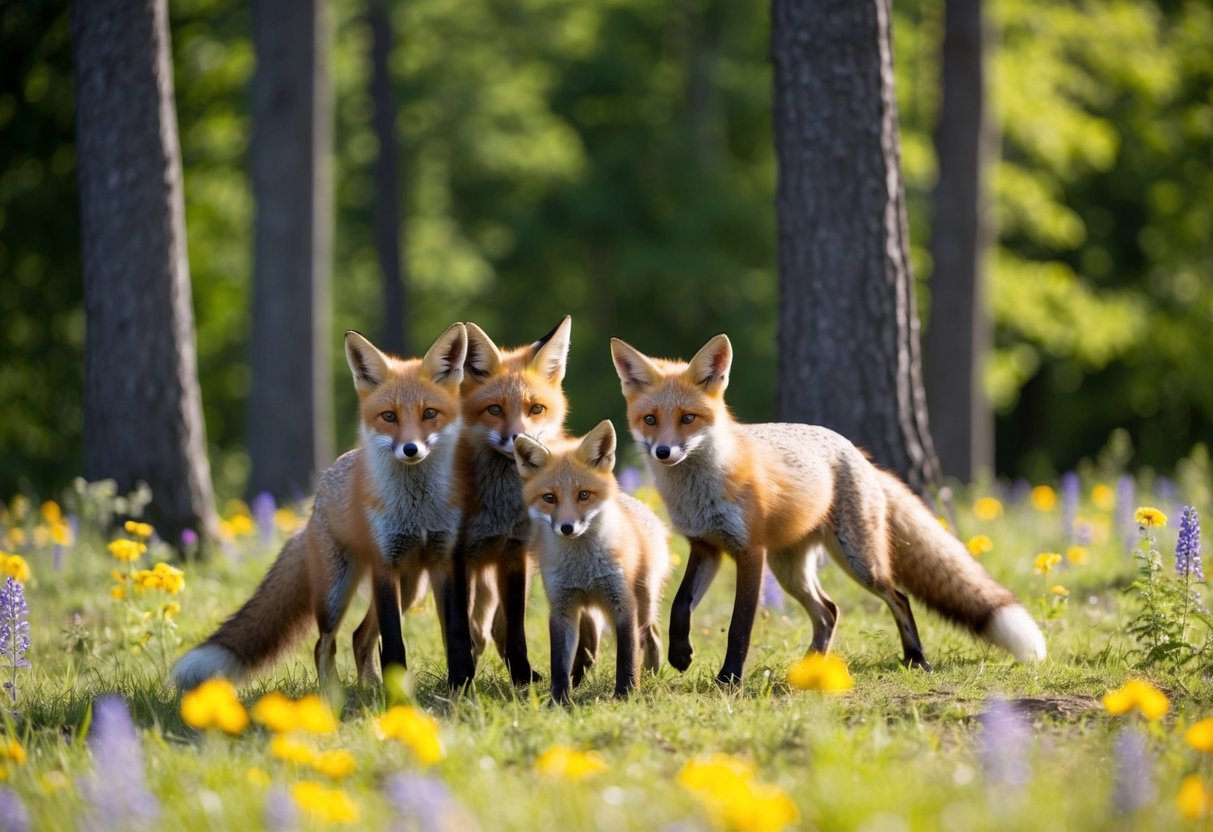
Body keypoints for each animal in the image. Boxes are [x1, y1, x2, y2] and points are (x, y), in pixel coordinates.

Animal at [172, 324, 468, 690]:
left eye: (429, 414)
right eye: (389, 416)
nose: (410, 449)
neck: (418, 509)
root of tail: (314, 506)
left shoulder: (443, 563)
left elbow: (454, 637)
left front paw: (459, 687)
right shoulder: (385, 567)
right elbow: (394, 646)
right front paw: (400, 699)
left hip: (411, 589)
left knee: (359, 637)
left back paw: (370, 686)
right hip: (336, 595)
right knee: (324, 644)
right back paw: (333, 694)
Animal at [513, 420, 671, 702]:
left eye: (584, 495)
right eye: (549, 498)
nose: (567, 528)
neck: (583, 569)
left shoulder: (623, 603)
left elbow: (627, 655)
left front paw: (626, 694)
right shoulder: (562, 608)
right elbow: (559, 662)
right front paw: (559, 699)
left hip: (642, 604)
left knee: (649, 635)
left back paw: (652, 672)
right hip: (588, 611)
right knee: (589, 649)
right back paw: (578, 681)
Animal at [610, 333, 1047, 685]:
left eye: (688, 418)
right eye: (650, 419)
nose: (664, 452)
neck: (701, 490)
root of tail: (859, 453)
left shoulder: (750, 552)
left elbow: (739, 627)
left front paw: (728, 679)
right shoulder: (707, 546)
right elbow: (680, 605)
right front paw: (680, 655)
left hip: (859, 562)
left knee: (898, 597)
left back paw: (916, 659)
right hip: (791, 570)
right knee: (829, 612)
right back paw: (812, 668)